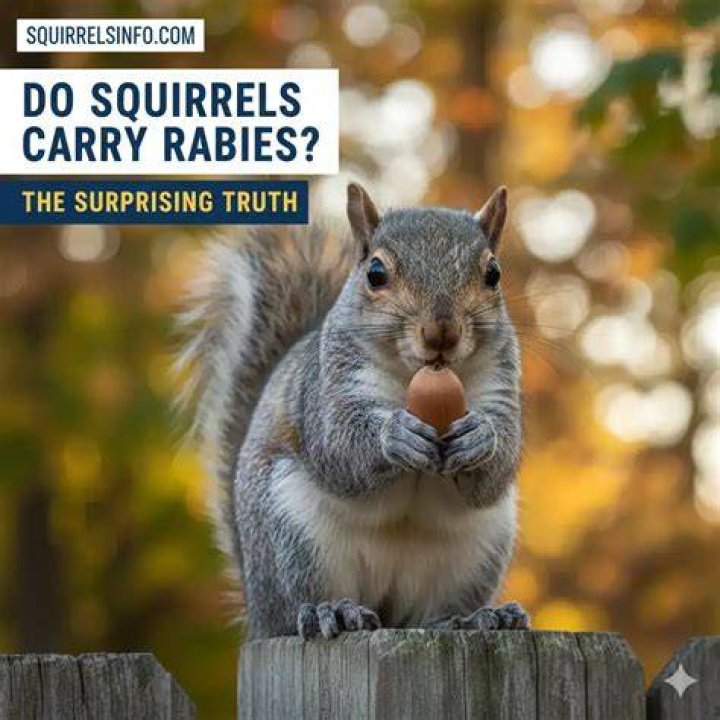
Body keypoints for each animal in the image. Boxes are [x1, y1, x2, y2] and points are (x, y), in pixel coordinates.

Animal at [177, 182, 529, 639]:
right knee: (300, 603)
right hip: (293, 536)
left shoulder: (501, 384)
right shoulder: (329, 388)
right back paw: (333, 612)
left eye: (494, 274)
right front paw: (394, 435)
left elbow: (496, 468)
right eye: (375, 273)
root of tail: (257, 614)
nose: (442, 332)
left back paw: (474, 618)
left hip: (478, 552)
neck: (419, 375)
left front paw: (481, 438)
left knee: (431, 615)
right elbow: (339, 446)